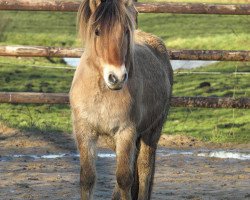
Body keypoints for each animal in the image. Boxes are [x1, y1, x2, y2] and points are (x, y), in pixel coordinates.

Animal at [69, 0, 173, 198]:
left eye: (125, 30)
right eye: (97, 31)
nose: (116, 77)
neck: (102, 92)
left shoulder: (126, 132)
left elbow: (124, 178)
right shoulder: (84, 131)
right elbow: (87, 178)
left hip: (152, 131)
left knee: (144, 168)